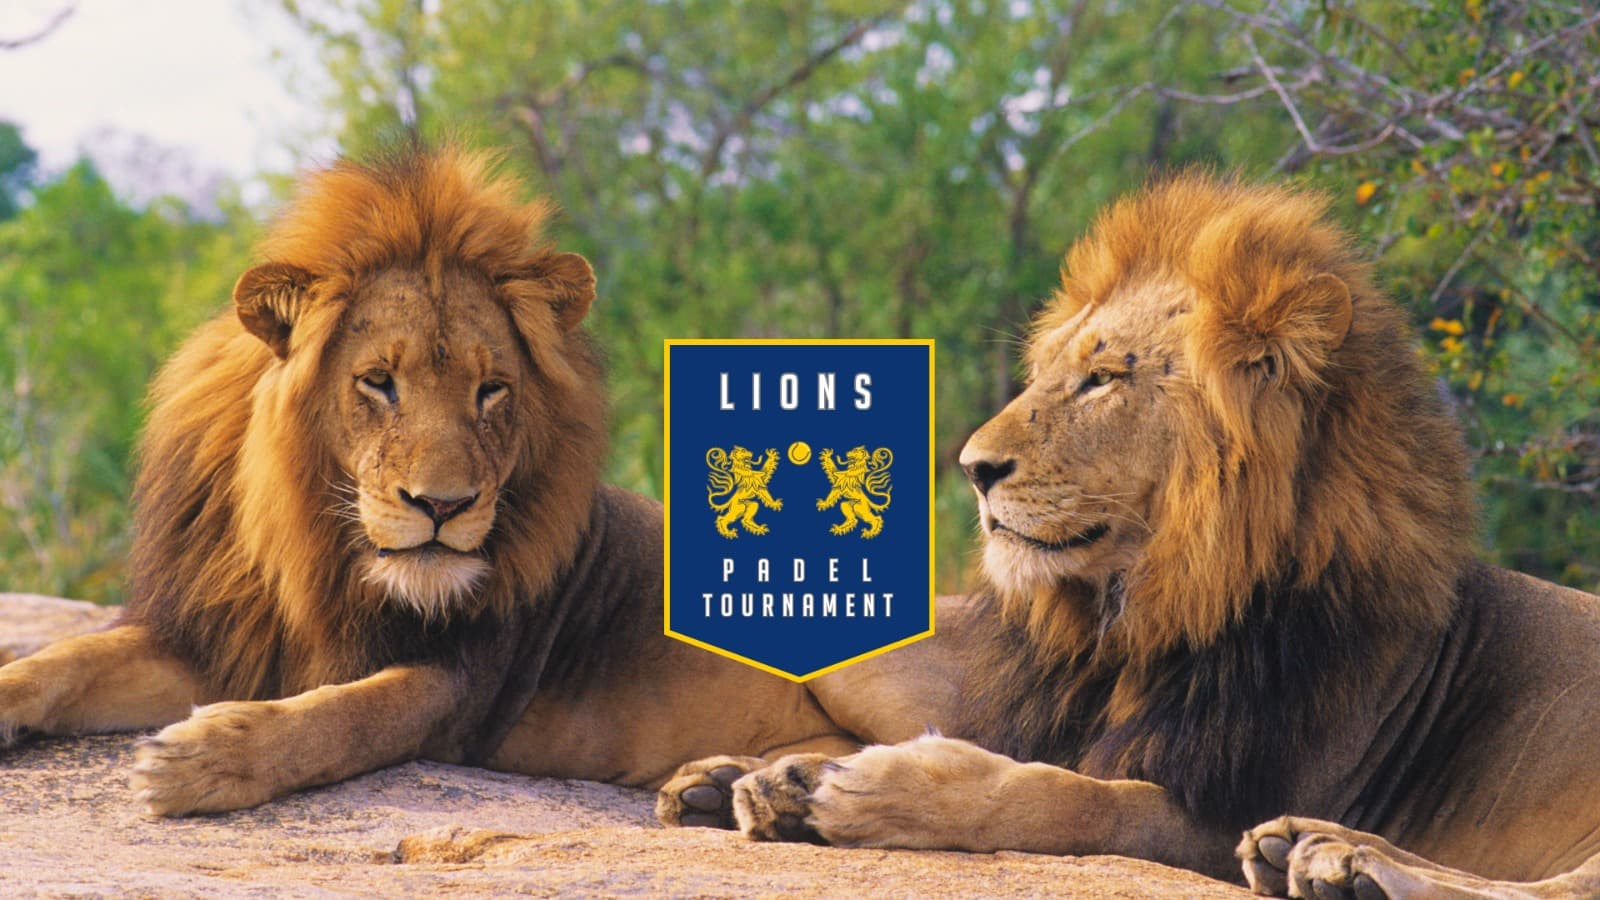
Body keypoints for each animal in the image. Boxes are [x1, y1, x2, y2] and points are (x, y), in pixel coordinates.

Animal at [0, 145, 915, 816]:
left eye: (491, 389)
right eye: (378, 382)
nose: (442, 506)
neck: (312, 553)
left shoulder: (459, 682)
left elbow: (345, 717)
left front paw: (203, 758)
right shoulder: (210, 634)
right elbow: (65, 659)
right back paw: (732, 788)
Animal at [658, 175, 1600, 897]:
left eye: (1104, 379)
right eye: (1046, 373)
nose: (973, 468)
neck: (1139, 621)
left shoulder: (1215, 804)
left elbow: (1079, 799)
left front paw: (871, 787)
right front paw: (758, 777)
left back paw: (1340, 859)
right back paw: (1304, 848)